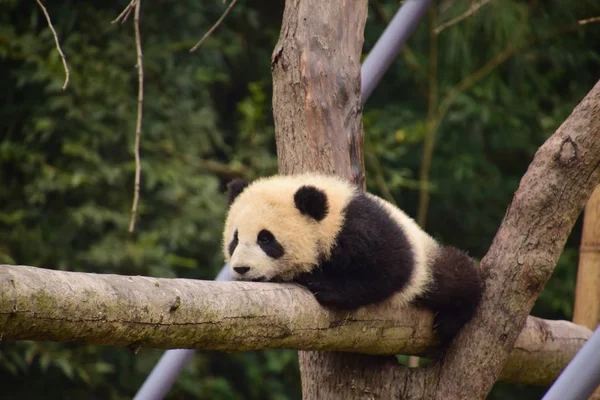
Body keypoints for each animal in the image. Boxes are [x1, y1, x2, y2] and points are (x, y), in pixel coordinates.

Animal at [223, 173, 486, 342]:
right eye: (234, 240)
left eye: (266, 239)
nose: (241, 269)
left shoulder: (363, 228)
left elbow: (389, 271)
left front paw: (325, 285)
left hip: (428, 258)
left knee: (454, 275)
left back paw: (451, 318)